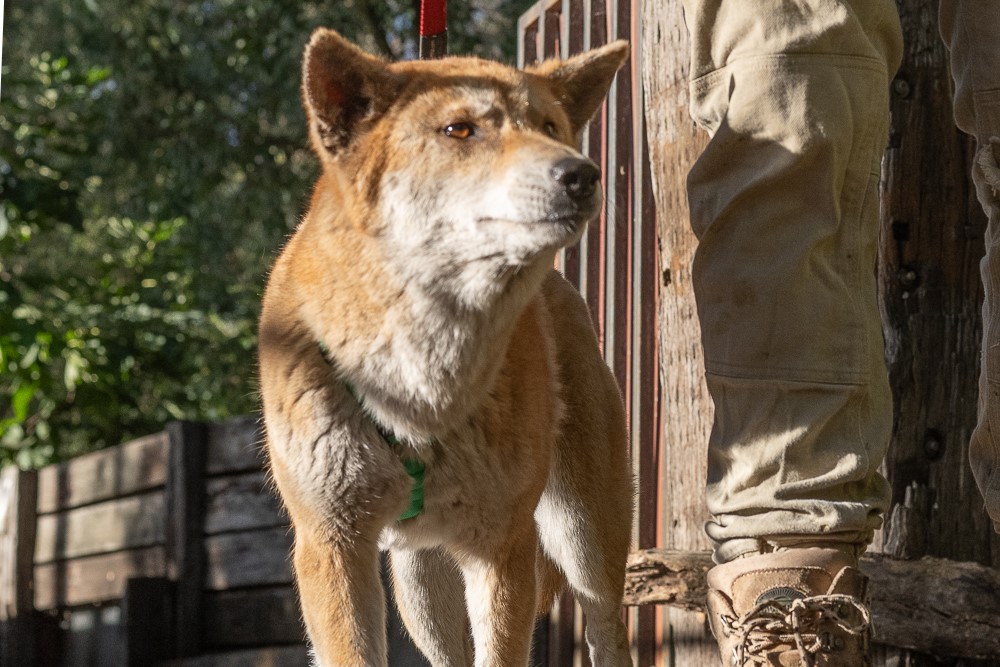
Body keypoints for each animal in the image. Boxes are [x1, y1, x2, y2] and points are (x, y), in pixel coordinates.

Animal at [258, 30, 632, 667]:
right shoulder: (332, 544)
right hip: (420, 583)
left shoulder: (502, 547)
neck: (420, 391)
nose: (581, 174)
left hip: (582, 536)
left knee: (606, 624)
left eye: (550, 126)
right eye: (460, 130)